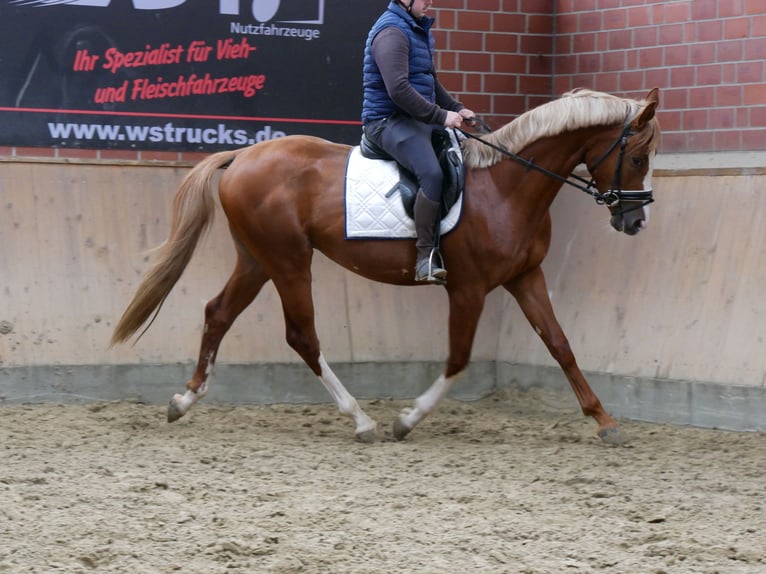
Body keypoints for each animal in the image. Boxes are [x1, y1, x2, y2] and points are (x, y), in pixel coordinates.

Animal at [111, 89, 664, 446]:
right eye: (638, 158)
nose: (635, 220)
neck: (506, 186)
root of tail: (243, 156)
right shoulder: (468, 288)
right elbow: (458, 359)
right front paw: (407, 420)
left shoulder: (525, 278)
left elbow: (560, 345)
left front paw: (605, 421)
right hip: (288, 260)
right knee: (301, 336)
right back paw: (361, 420)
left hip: (257, 259)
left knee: (218, 313)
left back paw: (184, 401)